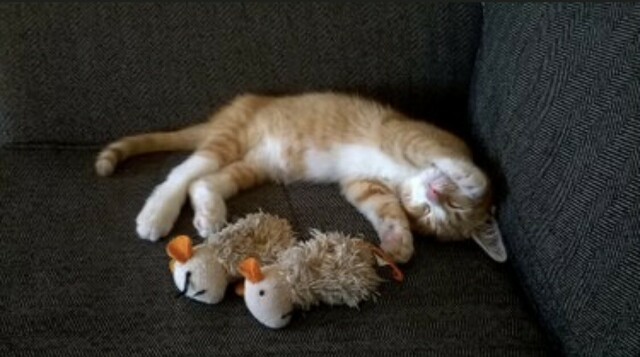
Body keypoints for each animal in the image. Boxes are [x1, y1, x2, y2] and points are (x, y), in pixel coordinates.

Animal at [95, 90, 504, 262]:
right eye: (444, 207)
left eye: (428, 215)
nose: (433, 194)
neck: (406, 177)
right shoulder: (411, 135)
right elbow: (461, 164)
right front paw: (470, 178)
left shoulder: (362, 183)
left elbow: (383, 207)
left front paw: (397, 242)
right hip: (232, 137)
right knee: (183, 172)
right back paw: (157, 213)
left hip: (257, 163)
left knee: (204, 180)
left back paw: (209, 212)